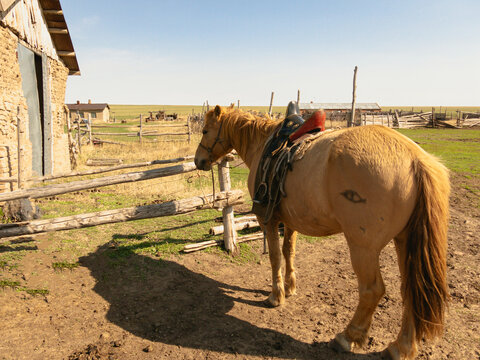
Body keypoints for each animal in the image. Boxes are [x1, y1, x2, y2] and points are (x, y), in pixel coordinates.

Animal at [193, 105, 448, 360]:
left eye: (205, 130)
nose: (198, 160)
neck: (262, 144)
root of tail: (415, 159)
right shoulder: (291, 220)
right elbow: (288, 251)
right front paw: (290, 287)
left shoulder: (269, 219)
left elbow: (275, 257)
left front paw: (276, 296)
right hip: (405, 241)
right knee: (412, 291)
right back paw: (401, 347)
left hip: (363, 247)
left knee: (372, 290)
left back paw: (349, 337)